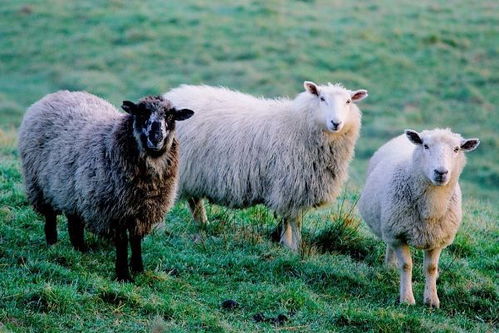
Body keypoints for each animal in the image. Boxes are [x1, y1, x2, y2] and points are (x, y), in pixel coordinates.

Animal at [18, 91, 193, 280]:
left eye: (170, 116)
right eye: (141, 113)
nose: (156, 138)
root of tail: (53, 96)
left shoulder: (143, 210)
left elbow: (136, 239)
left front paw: (138, 268)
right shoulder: (113, 210)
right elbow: (122, 242)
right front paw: (123, 275)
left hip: (74, 190)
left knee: (74, 221)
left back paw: (80, 248)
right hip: (39, 184)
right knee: (50, 216)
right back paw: (52, 243)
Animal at [360, 127, 480, 306]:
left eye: (456, 149)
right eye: (426, 146)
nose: (441, 172)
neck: (432, 207)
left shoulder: (437, 239)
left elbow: (430, 268)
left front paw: (432, 299)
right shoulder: (398, 234)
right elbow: (406, 265)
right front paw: (407, 299)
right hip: (388, 225)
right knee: (389, 245)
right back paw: (390, 266)